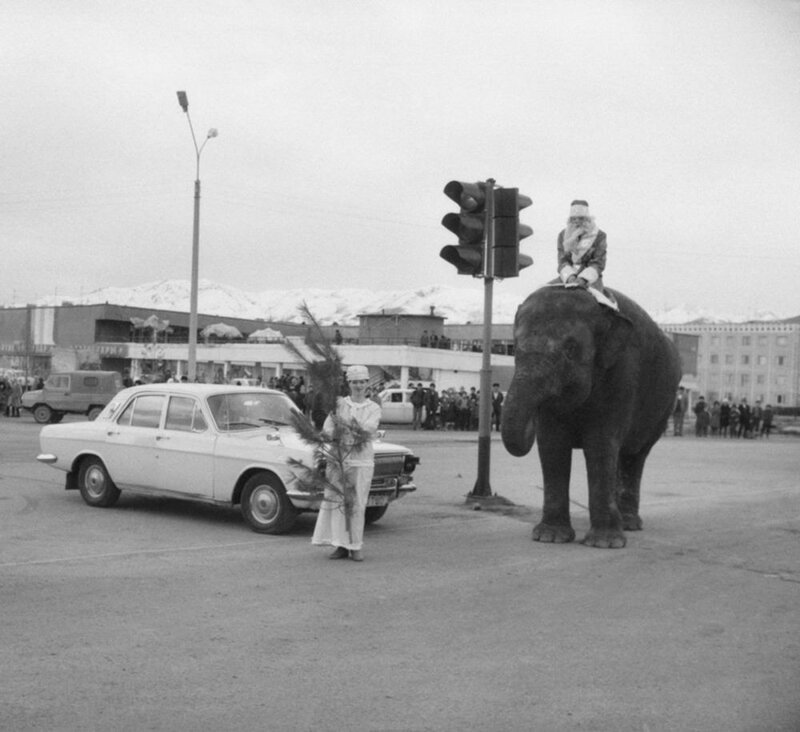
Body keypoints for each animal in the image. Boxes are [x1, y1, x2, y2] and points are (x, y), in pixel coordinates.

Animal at [504, 286, 680, 548]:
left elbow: (600, 443)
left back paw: (629, 524)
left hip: (663, 409)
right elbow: (552, 444)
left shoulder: (622, 371)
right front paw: (549, 537)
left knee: (634, 455)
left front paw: (605, 543)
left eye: (570, 349)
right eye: (514, 348)